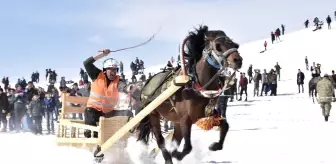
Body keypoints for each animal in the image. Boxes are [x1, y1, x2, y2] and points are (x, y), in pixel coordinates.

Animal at [138, 25, 243, 163]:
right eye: (218, 45)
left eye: (234, 44)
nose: (238, 60)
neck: (196, 85)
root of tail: (146, 84)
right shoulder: (185, 119)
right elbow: (187, 147)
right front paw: (177, 155)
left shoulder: (207, 113)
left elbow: (225, 126)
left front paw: (215, 146)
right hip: (153, 115)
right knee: (161, 141)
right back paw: (169, 157)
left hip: (175, 121)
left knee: (175, 140)